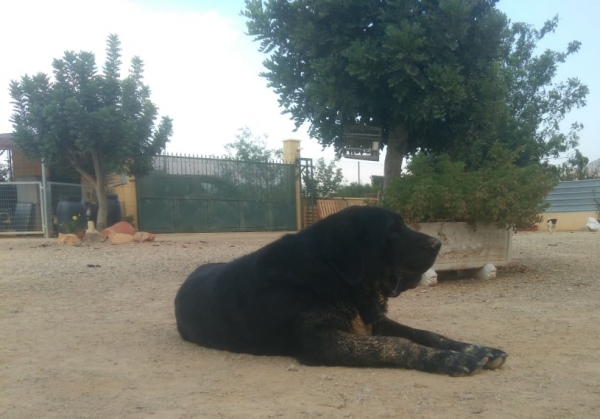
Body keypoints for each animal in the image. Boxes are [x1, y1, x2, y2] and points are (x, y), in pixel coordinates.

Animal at [173, 207, 506, 378]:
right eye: (393, 230)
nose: (438, 244)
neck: (334, 276)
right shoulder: (319, 341)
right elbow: (396, 343)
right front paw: (447, 359)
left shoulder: (375, 321)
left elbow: (425, 333)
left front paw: (475, 349)